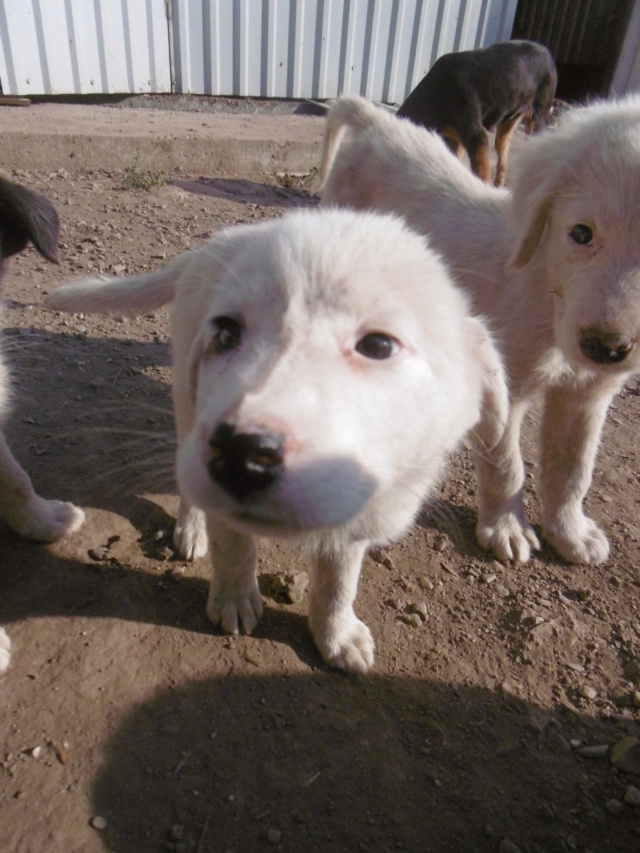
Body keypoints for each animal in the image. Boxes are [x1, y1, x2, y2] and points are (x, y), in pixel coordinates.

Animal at [45, 208, 508, 672]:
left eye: (378, 345)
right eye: (226, 333)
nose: (239, 454)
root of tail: (206, 249)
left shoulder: (355, 519)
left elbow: (338, 582)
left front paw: (336, 636)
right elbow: (234, 548)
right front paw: (233, 600)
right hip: (187, 400)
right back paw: (191, 528)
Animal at [316, 95, 640, 564]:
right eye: (581, 234)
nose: (605, 346)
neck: (546, 292)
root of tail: (380, 121)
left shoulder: (588, 394)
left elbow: (573, 468)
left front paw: (571, 533)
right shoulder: (504, 385)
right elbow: (507, 466)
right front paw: (507, 529)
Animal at [398, 39, 556, 185]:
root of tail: (548, 53)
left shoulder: (477, 137)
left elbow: (482, 175)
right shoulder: (458, 141)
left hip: (537, 118)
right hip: (508, 124)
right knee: (502, 160)